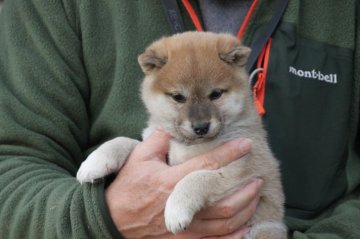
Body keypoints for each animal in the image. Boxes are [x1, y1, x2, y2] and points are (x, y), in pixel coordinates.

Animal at [76, 31, 286, 239]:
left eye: (216, 94)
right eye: (178, 97)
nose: (201, 127)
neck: (186, 143)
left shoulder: (244, 170)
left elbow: (197, 177)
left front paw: (176, 210)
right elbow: (124, 141)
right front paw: (95, 162)